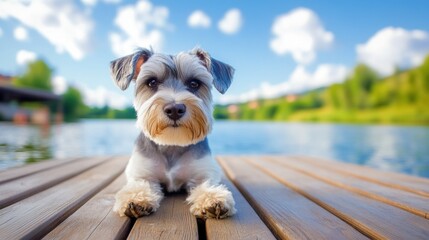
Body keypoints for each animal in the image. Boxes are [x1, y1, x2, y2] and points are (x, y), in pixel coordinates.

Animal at [110, 47, 236, 219]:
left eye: (194, 83)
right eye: (152, 82)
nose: (175, 109)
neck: (171, 144)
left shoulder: (203, 172)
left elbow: (206, 184)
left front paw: (212, 198)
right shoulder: (142, 173)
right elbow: (140, 184)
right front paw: (135, 198)